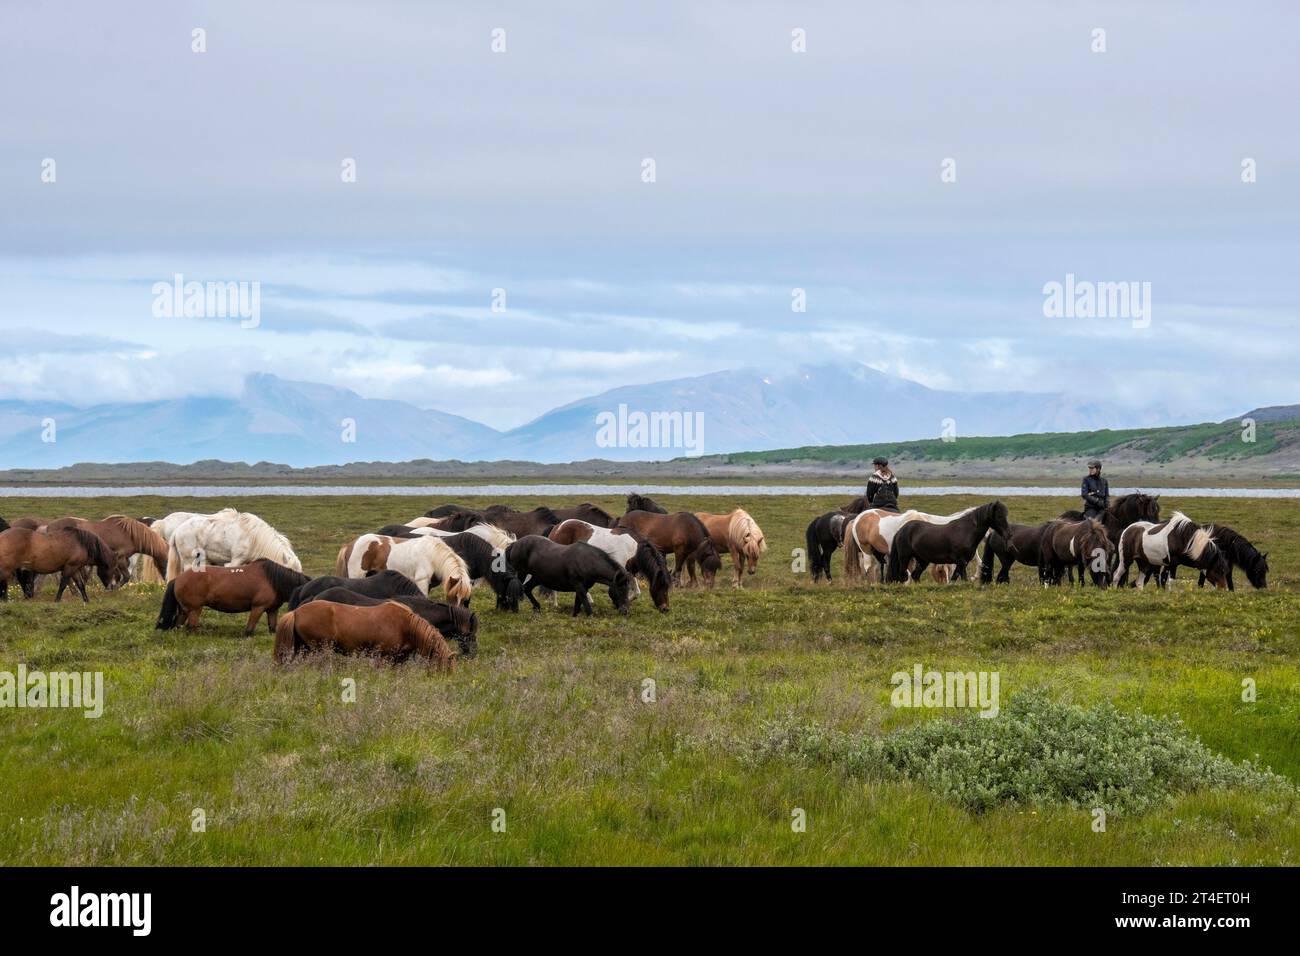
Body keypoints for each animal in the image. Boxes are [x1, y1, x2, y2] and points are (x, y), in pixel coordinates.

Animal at [155, 558, 310, 635]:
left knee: (178, 625)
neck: (272, 580)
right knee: (190, 627)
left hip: (184, 610)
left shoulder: (272, 610)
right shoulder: (258, 608)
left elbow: (272, 628)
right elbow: (249, 630)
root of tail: (178, 579)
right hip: (194, 610)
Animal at [273, 600, 456, 671]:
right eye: (446, 667)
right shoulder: (383, 656)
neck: (405, 625)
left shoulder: (399, 660)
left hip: (302, 648)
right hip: (316, 649)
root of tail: (296, 612)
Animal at [336, 533, 473, 605]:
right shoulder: (422, 582)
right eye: (453, 596)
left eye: (465, 599)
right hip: (357, 576)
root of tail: (350, 545)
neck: (432, 555)